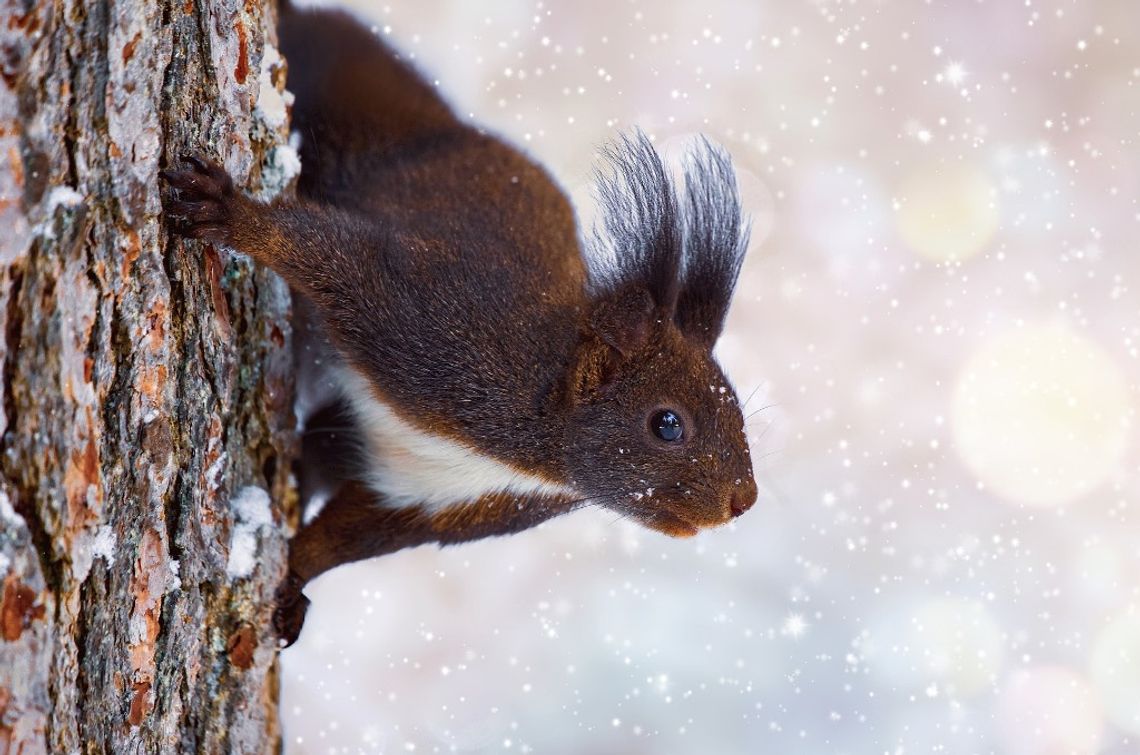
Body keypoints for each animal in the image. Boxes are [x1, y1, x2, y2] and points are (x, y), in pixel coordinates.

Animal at [158, 1, 756, 652]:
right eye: (668, 424)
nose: (743, 501)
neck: (527, 450)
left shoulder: (429, 503)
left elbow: (346, 535)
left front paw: (293, 584)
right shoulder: (437, 320)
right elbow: (336, 257)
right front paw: (232, 215)